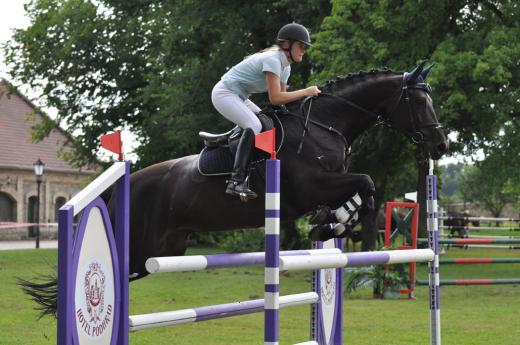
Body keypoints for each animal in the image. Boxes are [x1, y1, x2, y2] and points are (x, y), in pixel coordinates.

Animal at [21, 61, 446, 314]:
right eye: (418, 101)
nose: (440, 145)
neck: (325, 124)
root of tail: (123, 184)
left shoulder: (326, 186)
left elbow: (363, 191)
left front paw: (333, 222)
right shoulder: (309, 188)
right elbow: (367, 182)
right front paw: (341, 228)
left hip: (163, 251)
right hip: (139, 245)